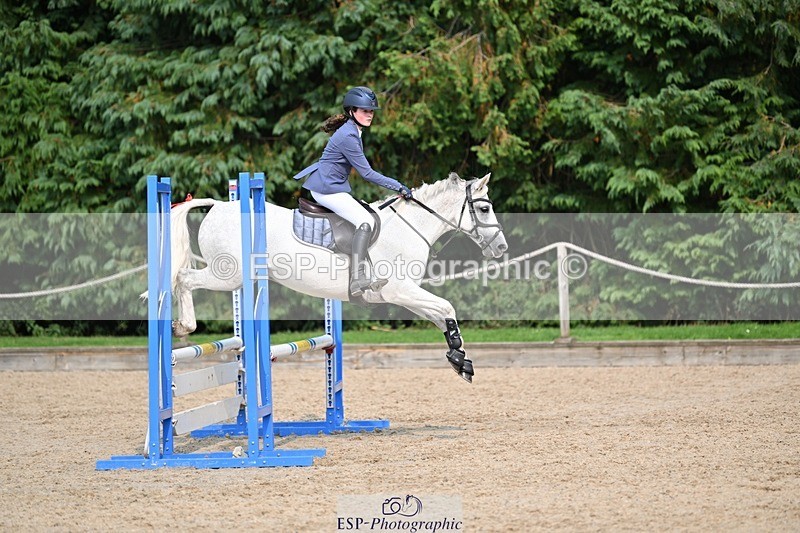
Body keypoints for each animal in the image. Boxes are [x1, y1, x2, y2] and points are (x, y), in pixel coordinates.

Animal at [168, 172, 508, 382]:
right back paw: (183, 326)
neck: (408, 227)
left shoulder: (403, 294)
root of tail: (219, 205)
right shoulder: (399, 290)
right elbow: (447, 307)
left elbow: (440, 317)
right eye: (485, 209)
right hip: (228, 275)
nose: (501, 247)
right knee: (184, 279)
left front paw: (459, 358)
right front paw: (461, 360)